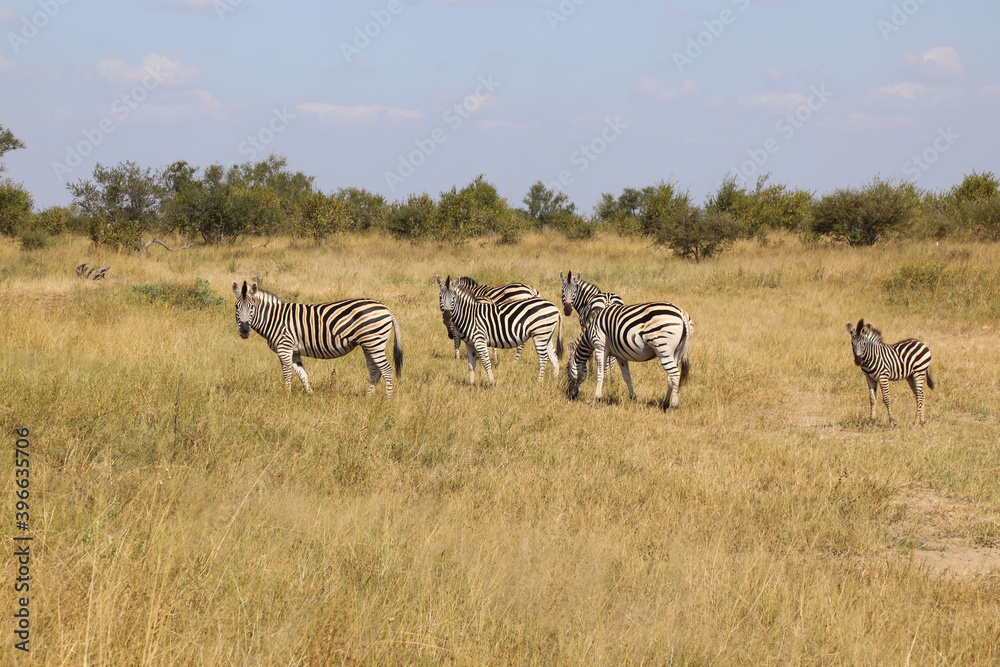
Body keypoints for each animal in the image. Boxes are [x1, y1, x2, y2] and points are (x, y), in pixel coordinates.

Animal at [232, 280, 403, 398]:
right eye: (236, 307)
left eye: (252, 307)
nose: (245, 331)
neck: (274, 318)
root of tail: (386, 308)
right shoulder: (294, 351)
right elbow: (302, 374)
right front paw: (311, 396)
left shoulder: (284, 347)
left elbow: (287, 374)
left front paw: (287, 396)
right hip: (368, 344)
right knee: (375, 371)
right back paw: (368, 399)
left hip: (374, 342)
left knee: (386, 370)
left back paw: (387, 400)